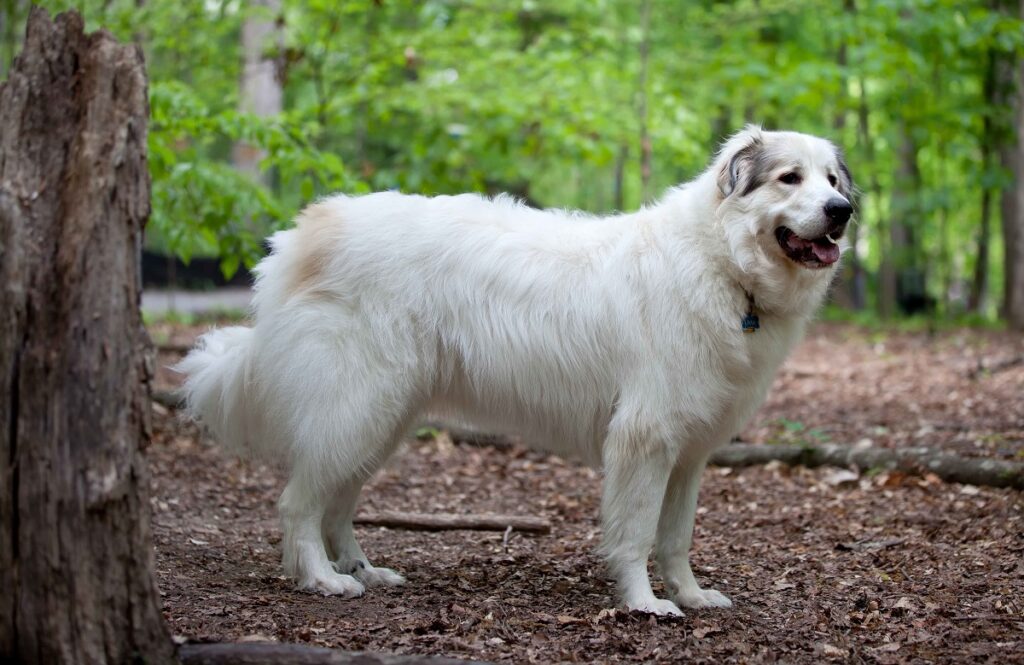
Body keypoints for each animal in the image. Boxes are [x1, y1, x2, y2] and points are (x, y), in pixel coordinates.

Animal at [180, 127, 851, 614]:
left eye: (832, 179)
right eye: (790, 178)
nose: (842, 210)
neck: (723, 264)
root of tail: (304, 233)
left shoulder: (687, 454)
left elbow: (676, 538)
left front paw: (689, 595)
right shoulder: (645, 439)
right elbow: (636, 534)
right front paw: (644, 605)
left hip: (380, 419)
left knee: (337, 503)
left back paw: (363, 570)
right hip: (357, 407)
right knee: (299, 504)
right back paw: (322, 579)